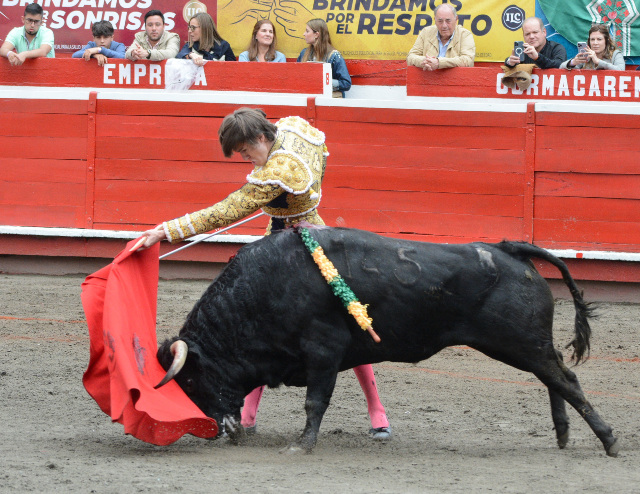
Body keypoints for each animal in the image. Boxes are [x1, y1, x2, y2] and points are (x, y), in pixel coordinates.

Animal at [156, 226, 620, 458]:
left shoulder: (322, 350)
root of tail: (508, 249)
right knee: (554, 374)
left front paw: (302, 445)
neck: (263, 288)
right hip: (525, 344)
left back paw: (609, 441)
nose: (216, 431)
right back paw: (562, 435)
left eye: (191, 381)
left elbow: (314, 401)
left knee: (565, 379)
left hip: (518, 342)